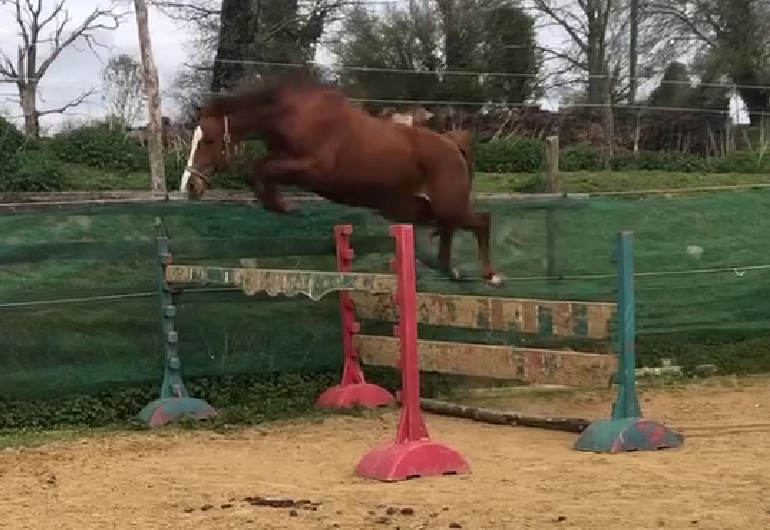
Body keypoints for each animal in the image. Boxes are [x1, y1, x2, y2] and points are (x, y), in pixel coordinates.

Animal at [181, 77, 501, 285]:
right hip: (411, 209)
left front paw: (282, 206)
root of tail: (452, 144)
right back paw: (449, 270)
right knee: (449, 228)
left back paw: (490, 275)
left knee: (481, 222)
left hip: (445, 205)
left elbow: (259, 168)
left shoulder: (314, 169)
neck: (293, 115)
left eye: (209, 140)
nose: (190, 187)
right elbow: (257, 168)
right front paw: (276, 204)